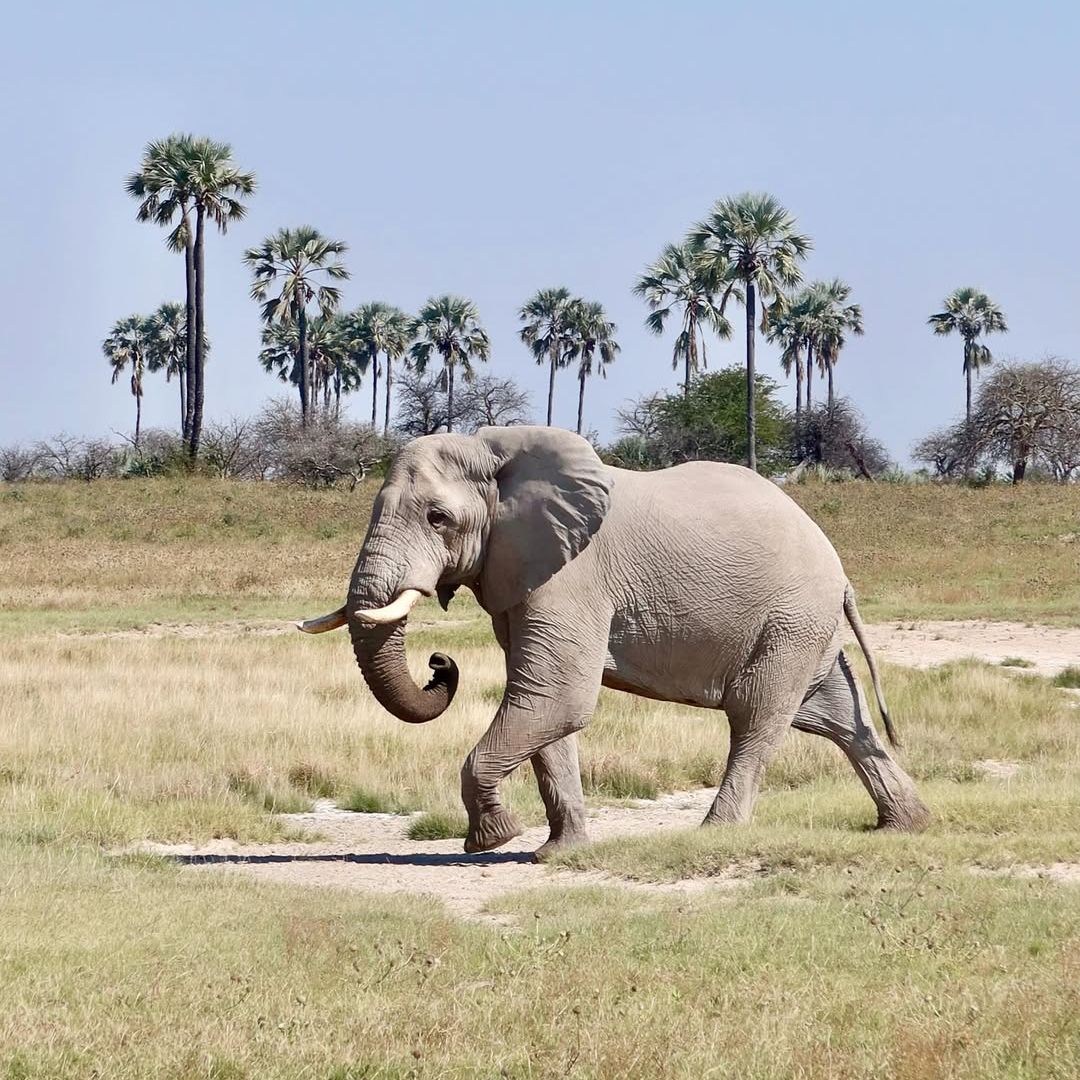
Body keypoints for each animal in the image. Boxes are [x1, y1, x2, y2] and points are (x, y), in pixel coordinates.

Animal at [298, 425, 929, 858]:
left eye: (437, 518)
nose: (439, 664)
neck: (494, 448)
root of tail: (840, 570)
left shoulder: (572, 575)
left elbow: (557, 697)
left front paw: (492, 840)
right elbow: (544, 706)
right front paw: (558, 853)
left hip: (791, 619)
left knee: (758, 716)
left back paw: (713, 834)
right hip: (804, 626)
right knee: (836, 717)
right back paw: (907, 825)